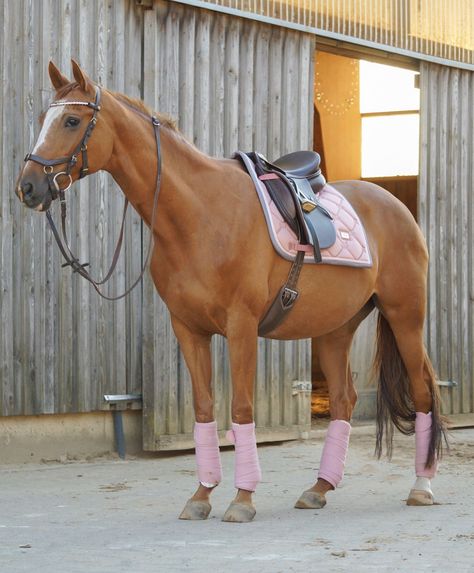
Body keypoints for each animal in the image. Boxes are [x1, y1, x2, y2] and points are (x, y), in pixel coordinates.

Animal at [13, 62, 444, 524]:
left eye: (72, 121)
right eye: (43, 118)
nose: (28, 187)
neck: (201, 213)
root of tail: (395, 205)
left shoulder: (242, 327)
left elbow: (241, 409)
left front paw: (242, 499)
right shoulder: (188, 329)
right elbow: (204, 409)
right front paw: (201, 496)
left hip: (405, 317)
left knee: (422, 390)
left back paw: (421, 487)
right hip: (335, 328)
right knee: (345, 400)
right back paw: (319, 489)